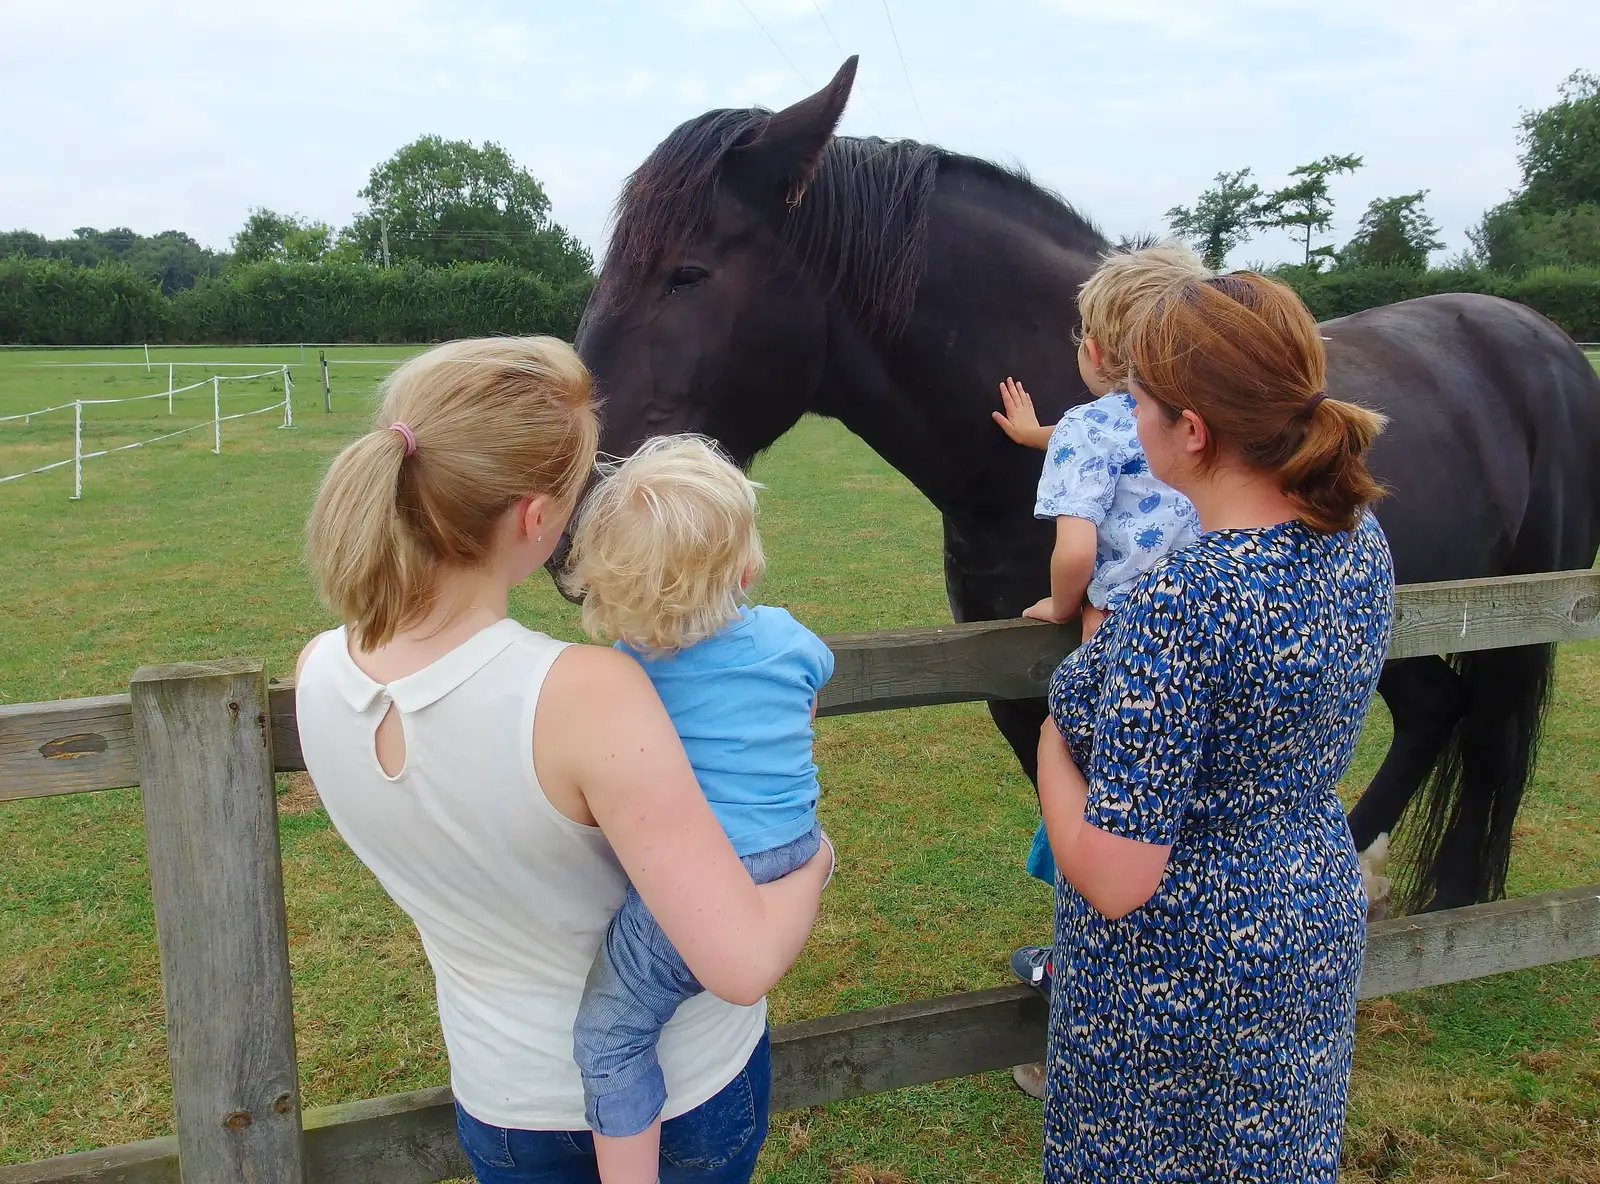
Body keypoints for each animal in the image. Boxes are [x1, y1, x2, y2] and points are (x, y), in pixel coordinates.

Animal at [560, 60, 1600, 908]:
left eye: (687, 273)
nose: (575, 529)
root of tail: (1542, 339)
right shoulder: (1015, 685)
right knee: (1435, 715)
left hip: (1516, 610)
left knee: (1491, 737)